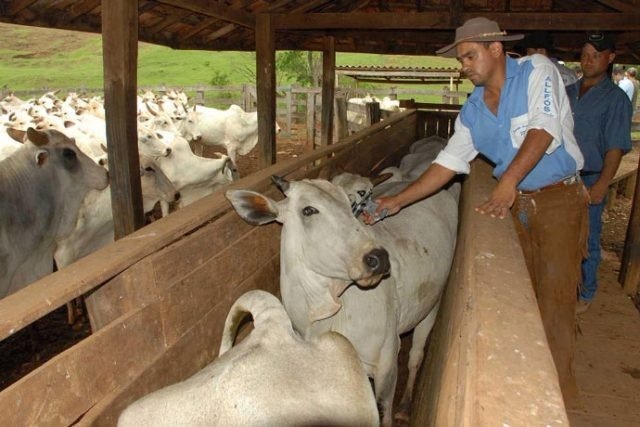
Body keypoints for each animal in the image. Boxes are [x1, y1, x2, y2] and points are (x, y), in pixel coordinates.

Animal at [228, 145, 458, 427]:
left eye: (351, 207)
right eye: (309, 210)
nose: (378, 258)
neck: (319, 312)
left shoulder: (387, 362)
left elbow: (383, 410)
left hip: (431, 304)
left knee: (416, 356)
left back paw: (405, 404)